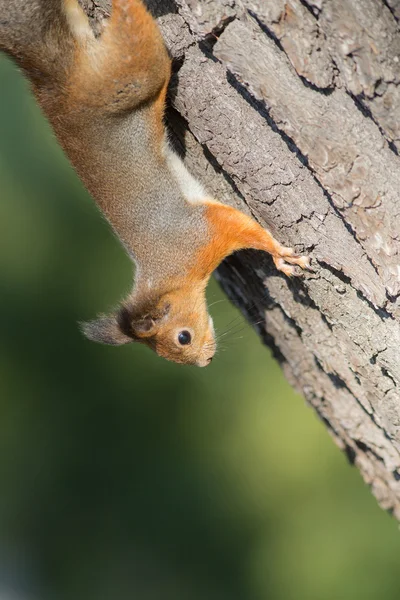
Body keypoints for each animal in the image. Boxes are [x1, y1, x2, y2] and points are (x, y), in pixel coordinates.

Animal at [0, 0, 310, 366]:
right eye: (177, 346)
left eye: (182, 337)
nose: (205, 361)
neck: (171, 273)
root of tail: (58, 87)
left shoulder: (206, 230)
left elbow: (247, 229)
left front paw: (280, 255)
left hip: (135, 73)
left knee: (134, 29)